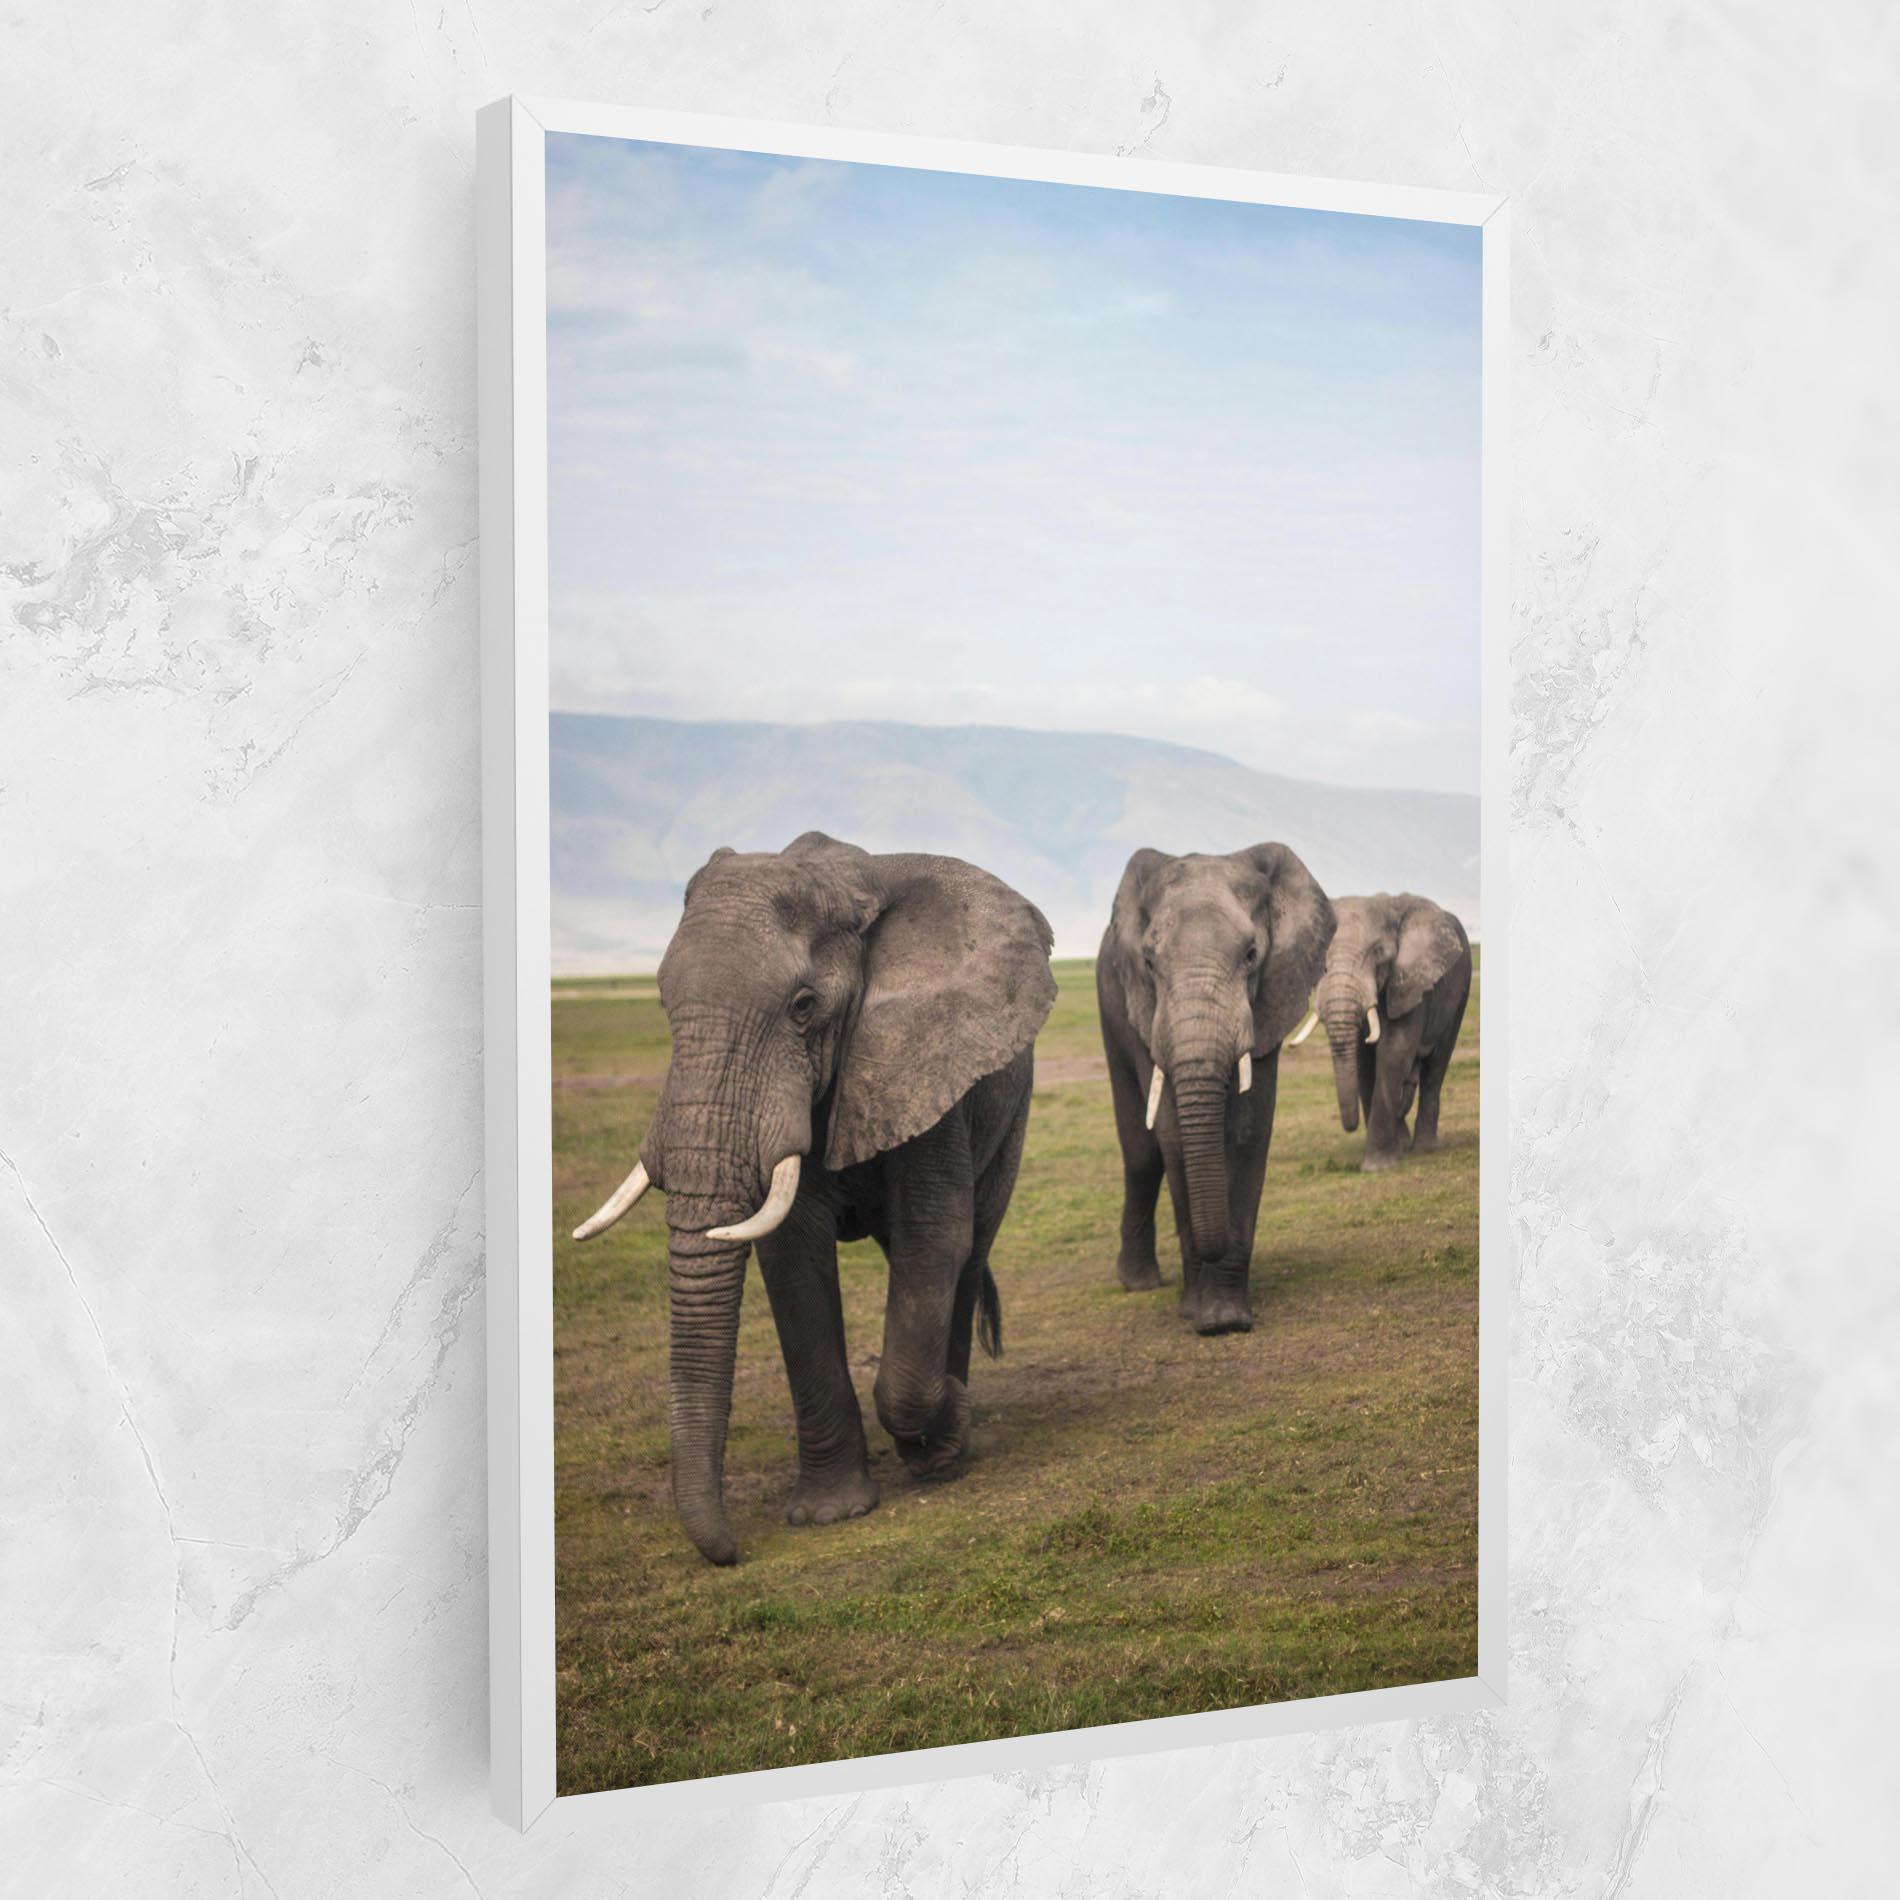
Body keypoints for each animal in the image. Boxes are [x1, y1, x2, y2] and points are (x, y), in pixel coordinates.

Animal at [571, 831, 1057, 1566]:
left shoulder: (924, 1062)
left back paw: (948, 1443)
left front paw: (944, 1433)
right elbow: (792, 1261)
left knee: (969, 1253)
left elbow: (934, 1238)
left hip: (1012, 1110)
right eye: (660, 1004)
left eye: (804, 1007)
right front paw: (830, 1514)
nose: (731, 1552)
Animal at [1096, 845, 1335, 1335]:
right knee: (1142, 1154)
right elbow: (1173, 1139)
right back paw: (1139, 1283)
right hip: (1111, 1010)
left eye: (1251, 954)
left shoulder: (1268, 1002)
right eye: (1149, 962)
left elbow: (1248, 1131)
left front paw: (1226, 1319)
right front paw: (1199, 1315)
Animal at [1288, 893, 1471, 1172]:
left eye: (1378, 953)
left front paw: (1377, 1167)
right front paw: (1392, 1153)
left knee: (1436, 1066)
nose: (1350, 1126)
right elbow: (1364, 1063)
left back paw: (1424, 1148)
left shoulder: (1408, 983)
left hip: (1461, 990)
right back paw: (1404, 1144)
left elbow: (1394, 1051)